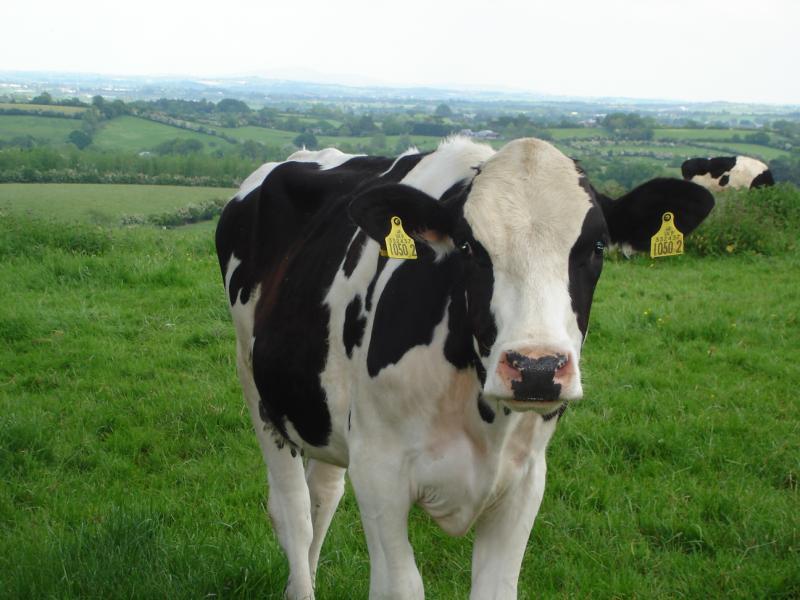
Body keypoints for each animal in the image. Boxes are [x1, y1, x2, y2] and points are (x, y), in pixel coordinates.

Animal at [215, 137, 715, 599]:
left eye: (595, 247)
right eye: (470, 247)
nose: (536, 368)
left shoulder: (525, 478)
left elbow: (496, 588)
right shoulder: (379, 471)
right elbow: (400, 586)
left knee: (322, 496)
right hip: (258, 389)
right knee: (293, 511)